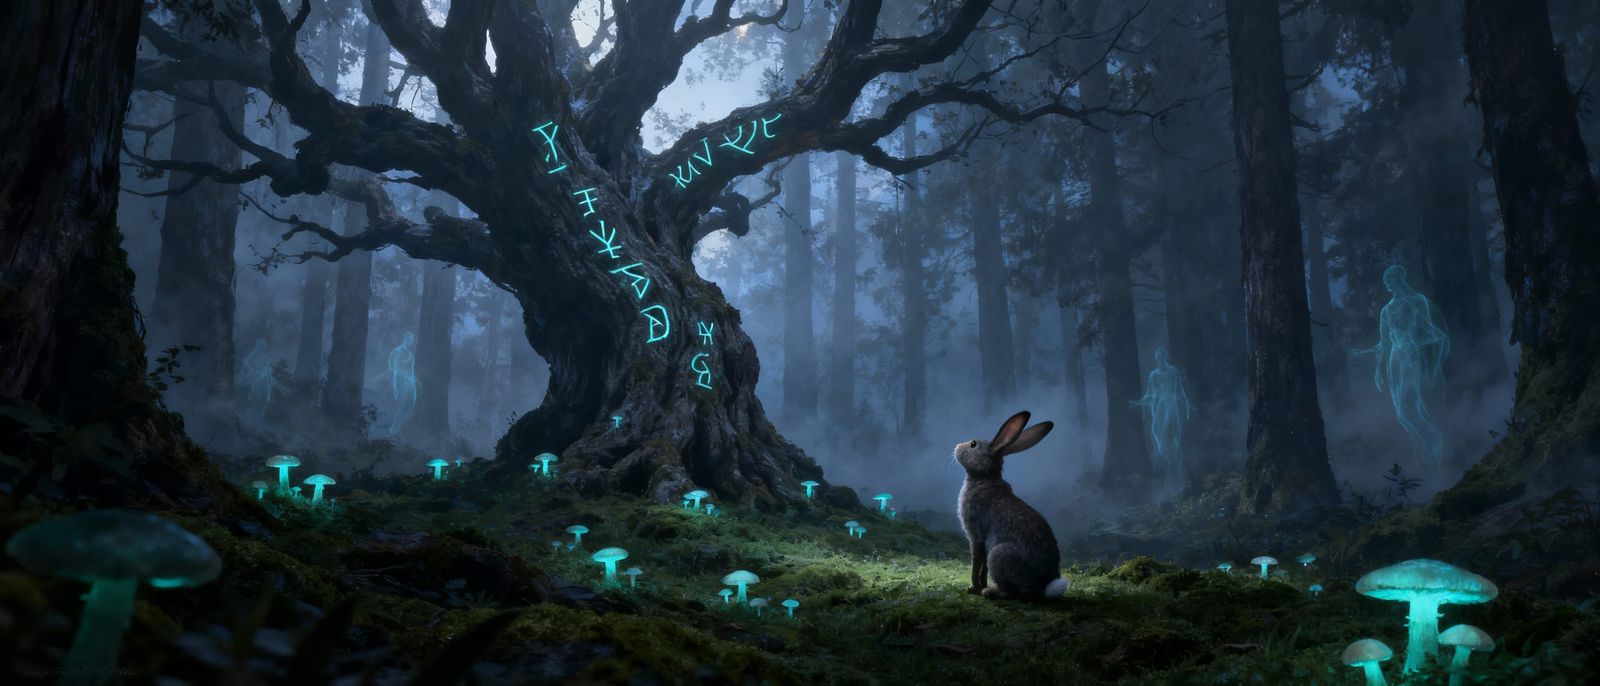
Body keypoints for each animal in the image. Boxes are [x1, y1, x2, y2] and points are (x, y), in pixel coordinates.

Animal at [955, 411, 1069, 600]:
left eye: (973, 444)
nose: (956, 446)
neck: (985, 477)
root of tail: (1043, 587)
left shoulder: (976, 536)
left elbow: (976, 562)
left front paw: (973, 587)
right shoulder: (984, 542)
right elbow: (983, 568)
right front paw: (981, 584)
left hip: (999, 555)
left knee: (1011, 592)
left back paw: (990, 591)